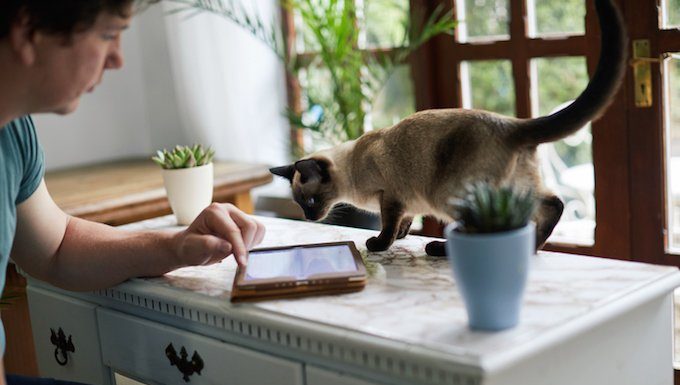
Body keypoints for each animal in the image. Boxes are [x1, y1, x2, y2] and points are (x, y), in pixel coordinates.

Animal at [268, 0, 624, 255]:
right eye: (299, 204)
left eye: (310, 202)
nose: (309, 218)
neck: (350, 169)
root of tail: (512, 124)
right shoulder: (407, 203)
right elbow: (405, 223)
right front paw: (400, 238)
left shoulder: (391, 196)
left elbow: (388, 226)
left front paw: (379, 245)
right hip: (512, 189)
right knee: (553, 205)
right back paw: (532, 247)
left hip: (450, 196)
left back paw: (440, 248)